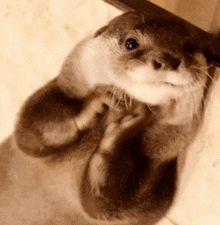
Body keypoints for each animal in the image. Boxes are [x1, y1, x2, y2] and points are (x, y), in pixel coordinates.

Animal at [0, 12, 218, 225]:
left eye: (189, 47)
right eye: (131, 43)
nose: (168, 60)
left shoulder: (159, 167)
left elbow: (107, 204)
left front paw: (124, 130)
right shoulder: (56, 93)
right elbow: (29, 134)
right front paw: (93, 106)